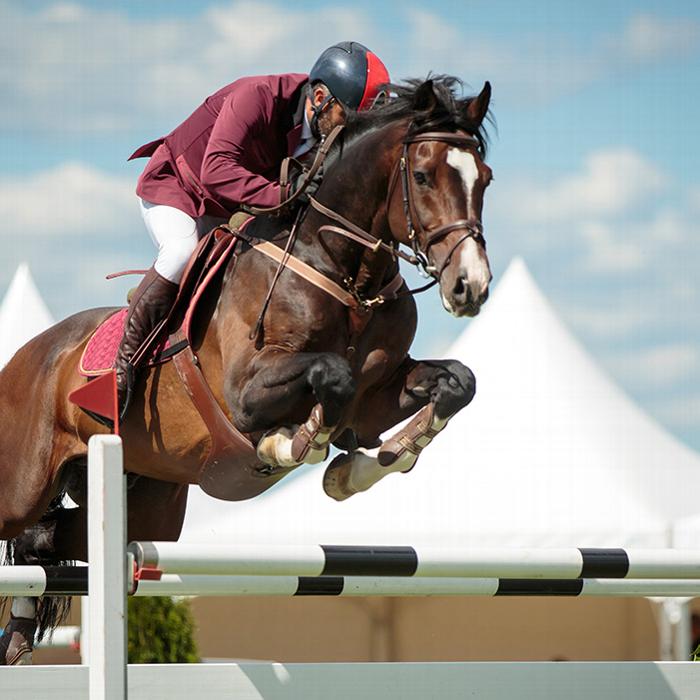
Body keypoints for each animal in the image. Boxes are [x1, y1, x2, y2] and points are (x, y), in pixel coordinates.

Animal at [0, 76, 492, 660]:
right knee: (24, 525)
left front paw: (358, 470)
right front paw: (297, 443)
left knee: (43, 538)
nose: (470, 286)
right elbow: (332, 375)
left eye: (485, 178)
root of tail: (28, 354)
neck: (344, 272)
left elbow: (456, 382)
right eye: (421, 175)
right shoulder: (245, 393)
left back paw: (19, 633)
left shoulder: (375, 402)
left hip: (146, 504)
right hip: (23, 484)